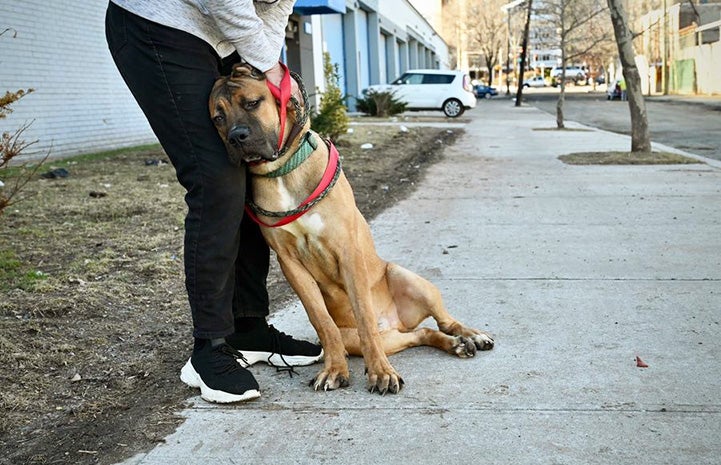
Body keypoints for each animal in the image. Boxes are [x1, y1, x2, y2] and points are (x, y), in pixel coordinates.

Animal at [205, 63, 492, 394]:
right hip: (373, 337)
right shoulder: (291, 265)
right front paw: (334, 369)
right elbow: (322, 321)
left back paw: (470, 335)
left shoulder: (348, 252)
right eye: (218, 118)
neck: (282, 171)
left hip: (407, 278)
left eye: (252, 103)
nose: (236, 137)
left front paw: (380, 372)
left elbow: (365, 318)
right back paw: (453, 344)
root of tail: (394, 323)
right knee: (420, 334)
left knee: (442, 320)